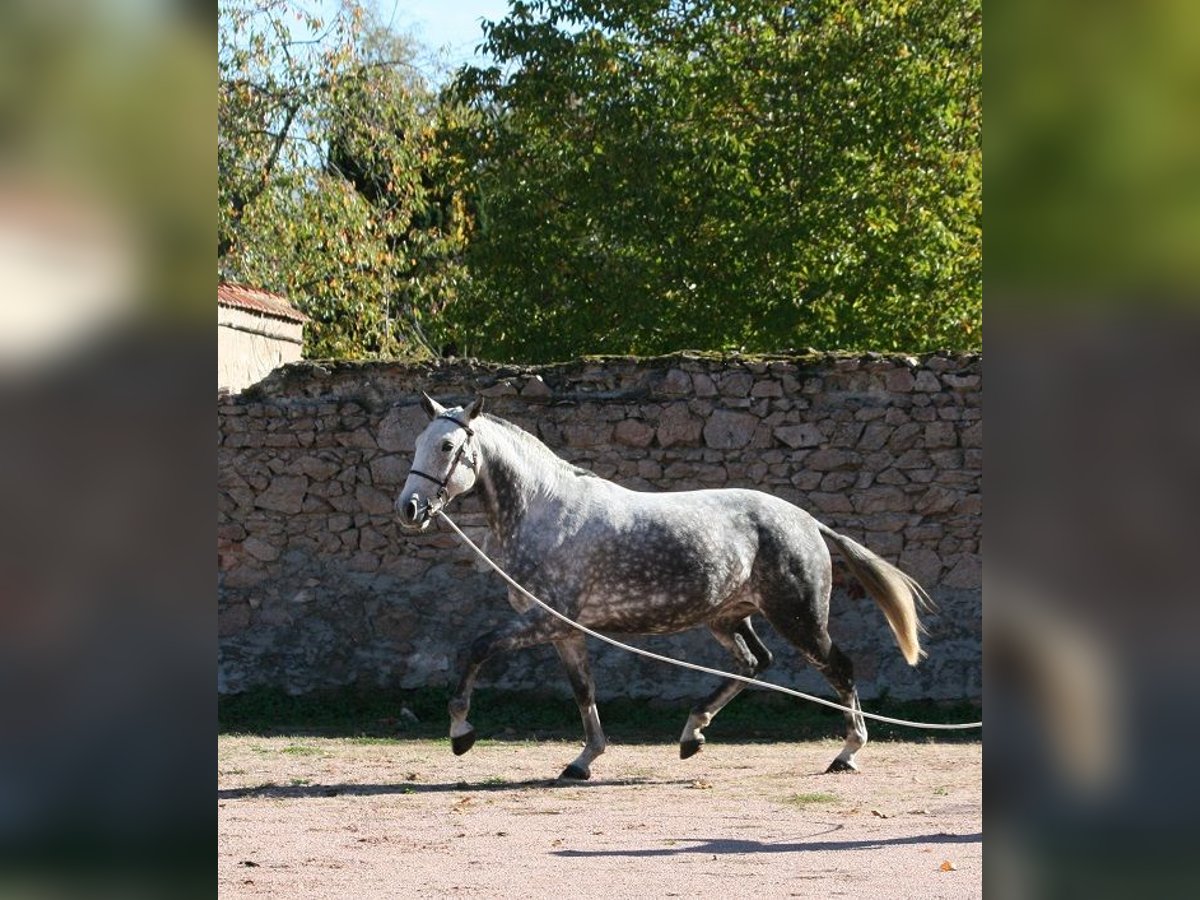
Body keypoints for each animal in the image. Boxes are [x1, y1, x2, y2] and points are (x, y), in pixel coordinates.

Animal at [398, 396, 931, 782]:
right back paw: (692, 735)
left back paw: (847, 754)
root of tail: (807, 522)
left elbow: (476, 648)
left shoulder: (544, 620)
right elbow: (584, 692)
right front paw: (583, 761)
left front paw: (461, 732)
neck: (544, 510)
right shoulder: (565, 631)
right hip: (728, 617)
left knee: (838, 668)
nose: (409, 508)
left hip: (798, 617)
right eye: (418, 442)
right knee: (754, 663)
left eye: (447, 446)